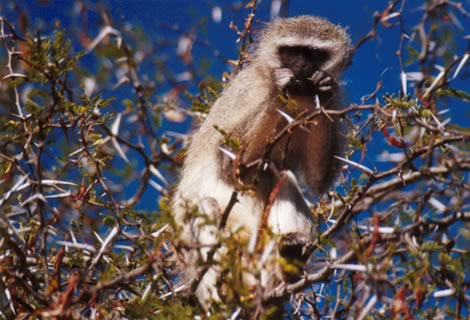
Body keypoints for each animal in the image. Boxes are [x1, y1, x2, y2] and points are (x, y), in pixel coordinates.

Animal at [174, 15, 350, 308]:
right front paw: (281, 87)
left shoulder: (334, 100)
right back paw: (217, 295)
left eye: (313, 54)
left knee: (282, 177)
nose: (301, 67)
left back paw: (290, 263)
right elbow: (228, 159)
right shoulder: (248, 88)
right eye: (291, 52)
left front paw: (322, 87)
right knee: (207, 207)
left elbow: (317, 179)